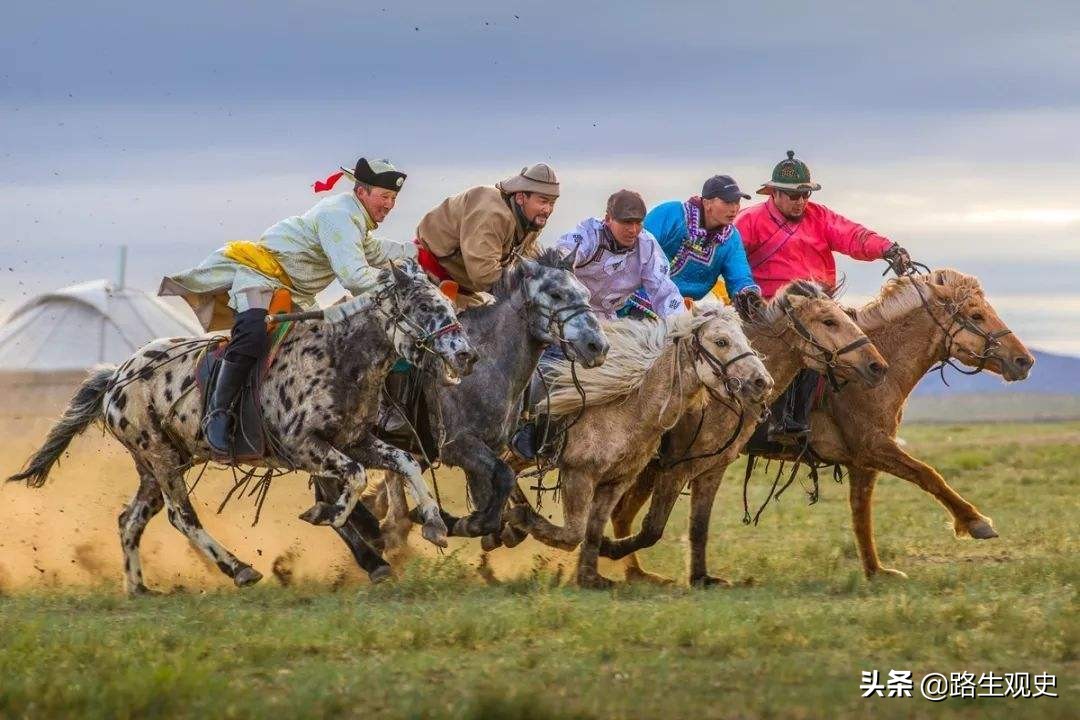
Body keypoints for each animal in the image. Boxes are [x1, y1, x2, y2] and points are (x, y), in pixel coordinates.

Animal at [7, 255, 473, 595]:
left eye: (449, 306)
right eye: (424, 307)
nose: (466, 354)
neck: (340, 356)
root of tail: (116, 377)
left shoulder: (355, 440)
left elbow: (402, 463)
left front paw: (433, 524)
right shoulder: (304, 446)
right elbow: (355, 479)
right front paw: (328, 515)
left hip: (159, 463)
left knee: (131, 518)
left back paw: (139, 588)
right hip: (160, 458)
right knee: (181, 517)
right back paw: (240, 569)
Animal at [501, 302, 773, 587]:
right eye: (721, 341)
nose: (763, 382)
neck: (627, 408)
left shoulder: (617, 481)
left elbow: (593, 529)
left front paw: (589, 577)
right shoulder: (579, 474)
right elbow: (574, 533)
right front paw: (520, 518)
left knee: (508, 468)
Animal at [600, 280, 885, 587]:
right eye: (829, 321)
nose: (877, 366)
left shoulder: (712, 468)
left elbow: (698, 525)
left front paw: (701, 577)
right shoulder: (674, 469)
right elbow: (652, 528)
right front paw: (604, 547)